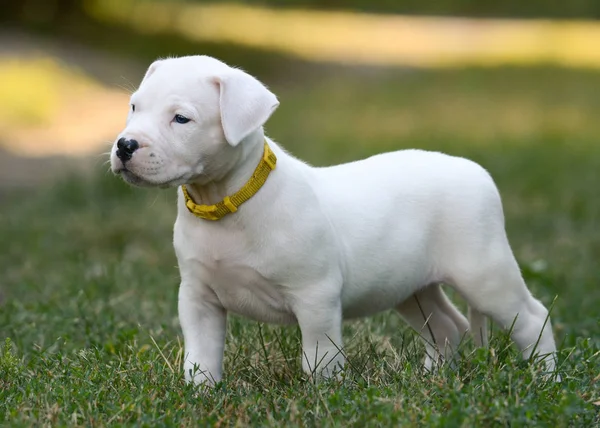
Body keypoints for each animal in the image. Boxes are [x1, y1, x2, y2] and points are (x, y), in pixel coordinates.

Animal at [110, 54, 560, 384]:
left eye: (181, 118)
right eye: (134, 107)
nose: (125, 145)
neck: (228, 202)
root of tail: (475, 170)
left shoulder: (316, 298)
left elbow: (318, 357)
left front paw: (324, 395)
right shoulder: (198, 298)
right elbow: (201, 354)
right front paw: (200, 393)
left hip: (484, 271)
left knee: (531, 317)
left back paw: (546, 380)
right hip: (412, 287)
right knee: (448, 325)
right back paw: (432, 381)